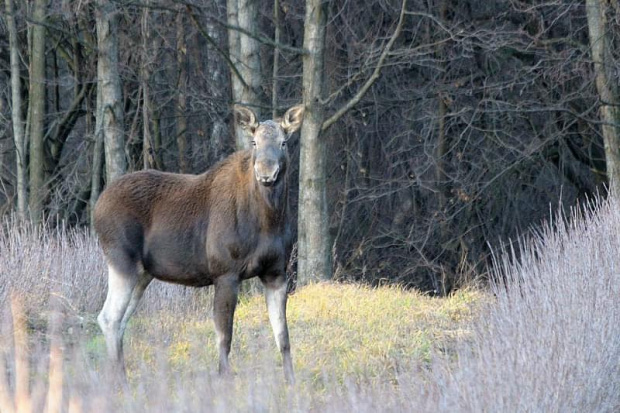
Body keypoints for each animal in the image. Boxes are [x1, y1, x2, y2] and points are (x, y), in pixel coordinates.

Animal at [93, 104, 304, 384]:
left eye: (283, 142)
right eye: (254, 142)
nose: (266, 173)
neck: (269, 220)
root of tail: (96, 209)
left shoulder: (276, 273)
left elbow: (283, 337)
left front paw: (291, 382)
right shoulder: (225, 272)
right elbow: (224, 337)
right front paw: (225, 379)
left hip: (142, 274)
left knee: (121, 320)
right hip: (121, 260)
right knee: (108, 317)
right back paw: (120, 380)